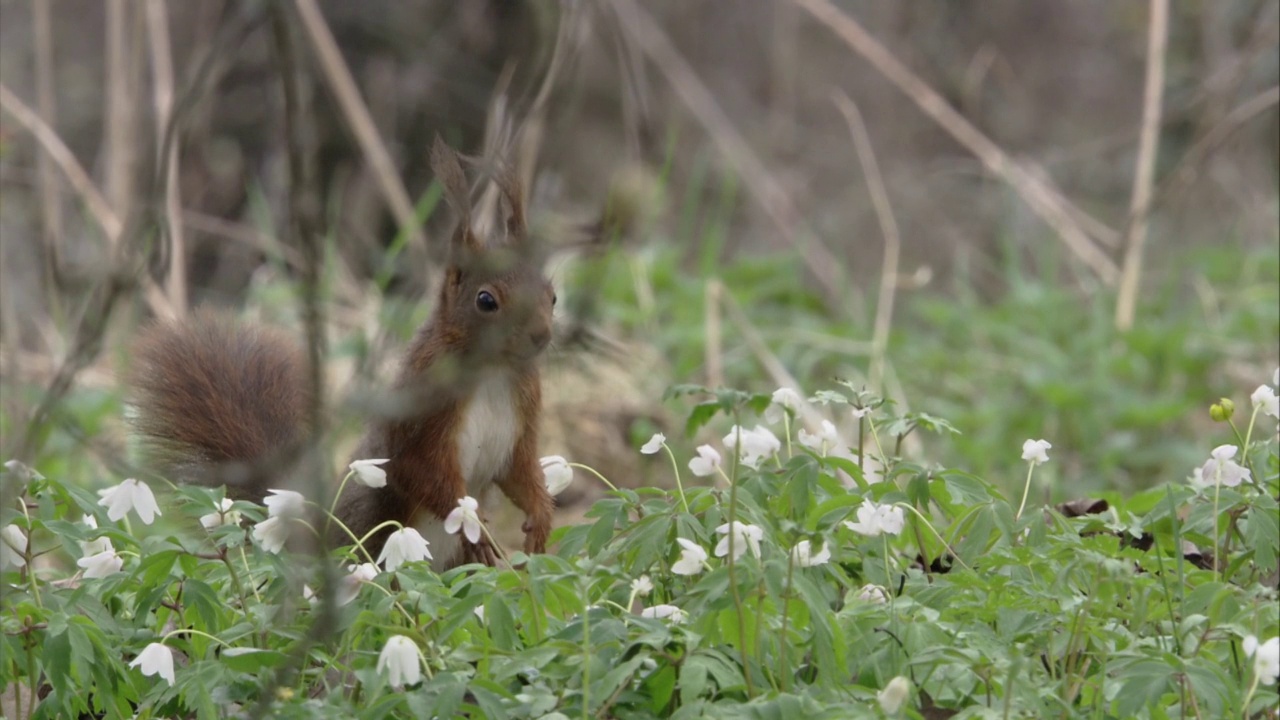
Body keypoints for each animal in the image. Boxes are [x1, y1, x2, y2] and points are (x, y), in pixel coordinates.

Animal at [129, 139, 560, 566]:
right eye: (486, 300)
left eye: (552, 295)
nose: (541, 335)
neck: (494, 370)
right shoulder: (421, 407)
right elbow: (418, 469)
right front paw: (476, 525)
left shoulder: (524, 414)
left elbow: (520, 472)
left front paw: (540, 518)